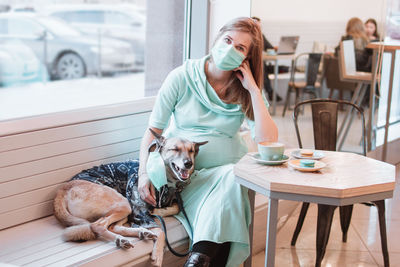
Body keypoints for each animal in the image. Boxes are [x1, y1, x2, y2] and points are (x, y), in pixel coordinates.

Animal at [53, 130, 208, 266]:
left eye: (191, 151)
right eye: (175, 149)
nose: (188, 163)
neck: (164, 180)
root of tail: (62, 189)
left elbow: (175, 208)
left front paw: (158, 211)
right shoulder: (139, 211)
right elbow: (161, 231)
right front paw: (158, 255)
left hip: (124, 208)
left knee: (113, 226)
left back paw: (141, 233)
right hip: (124, 203)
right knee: (97, 225)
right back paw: (121, 240)